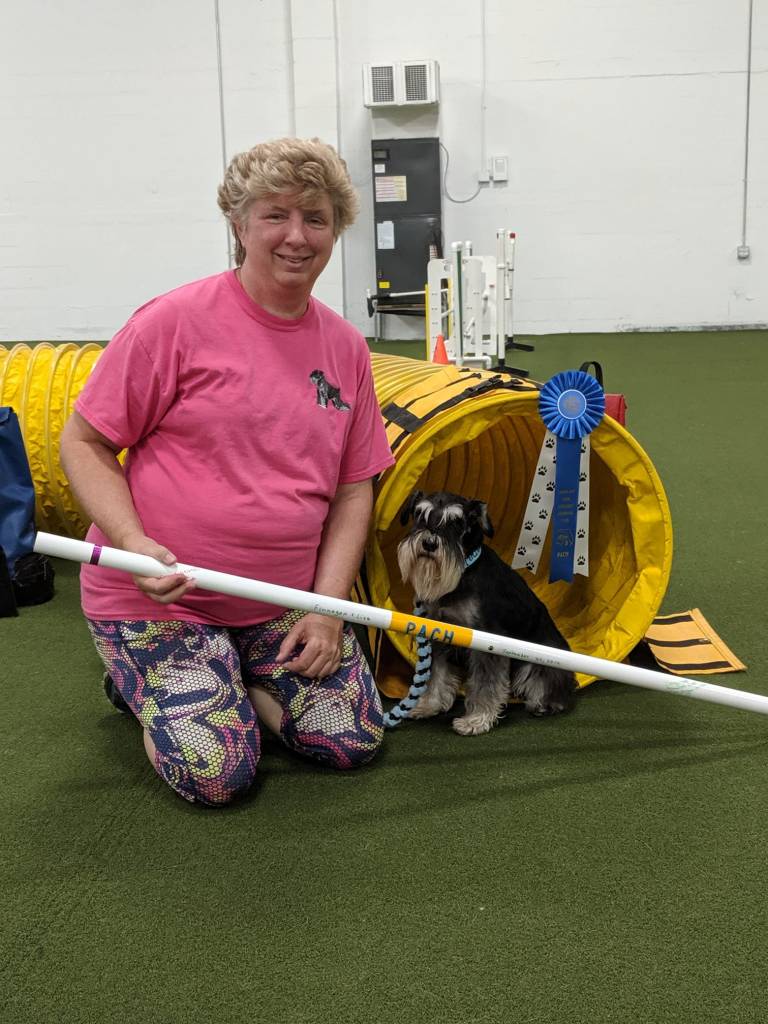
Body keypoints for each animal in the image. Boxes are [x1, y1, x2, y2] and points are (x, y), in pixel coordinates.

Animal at [397, 489, 576, 735]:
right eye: (419, 514)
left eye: (457, 522)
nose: (429, 543)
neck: (464, 573)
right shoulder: (441, 636)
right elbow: (437, 674)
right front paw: (428, 705)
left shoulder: (487, 641)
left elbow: (485, 685)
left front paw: (475, 721)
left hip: (537, 664)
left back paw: (547, 703)